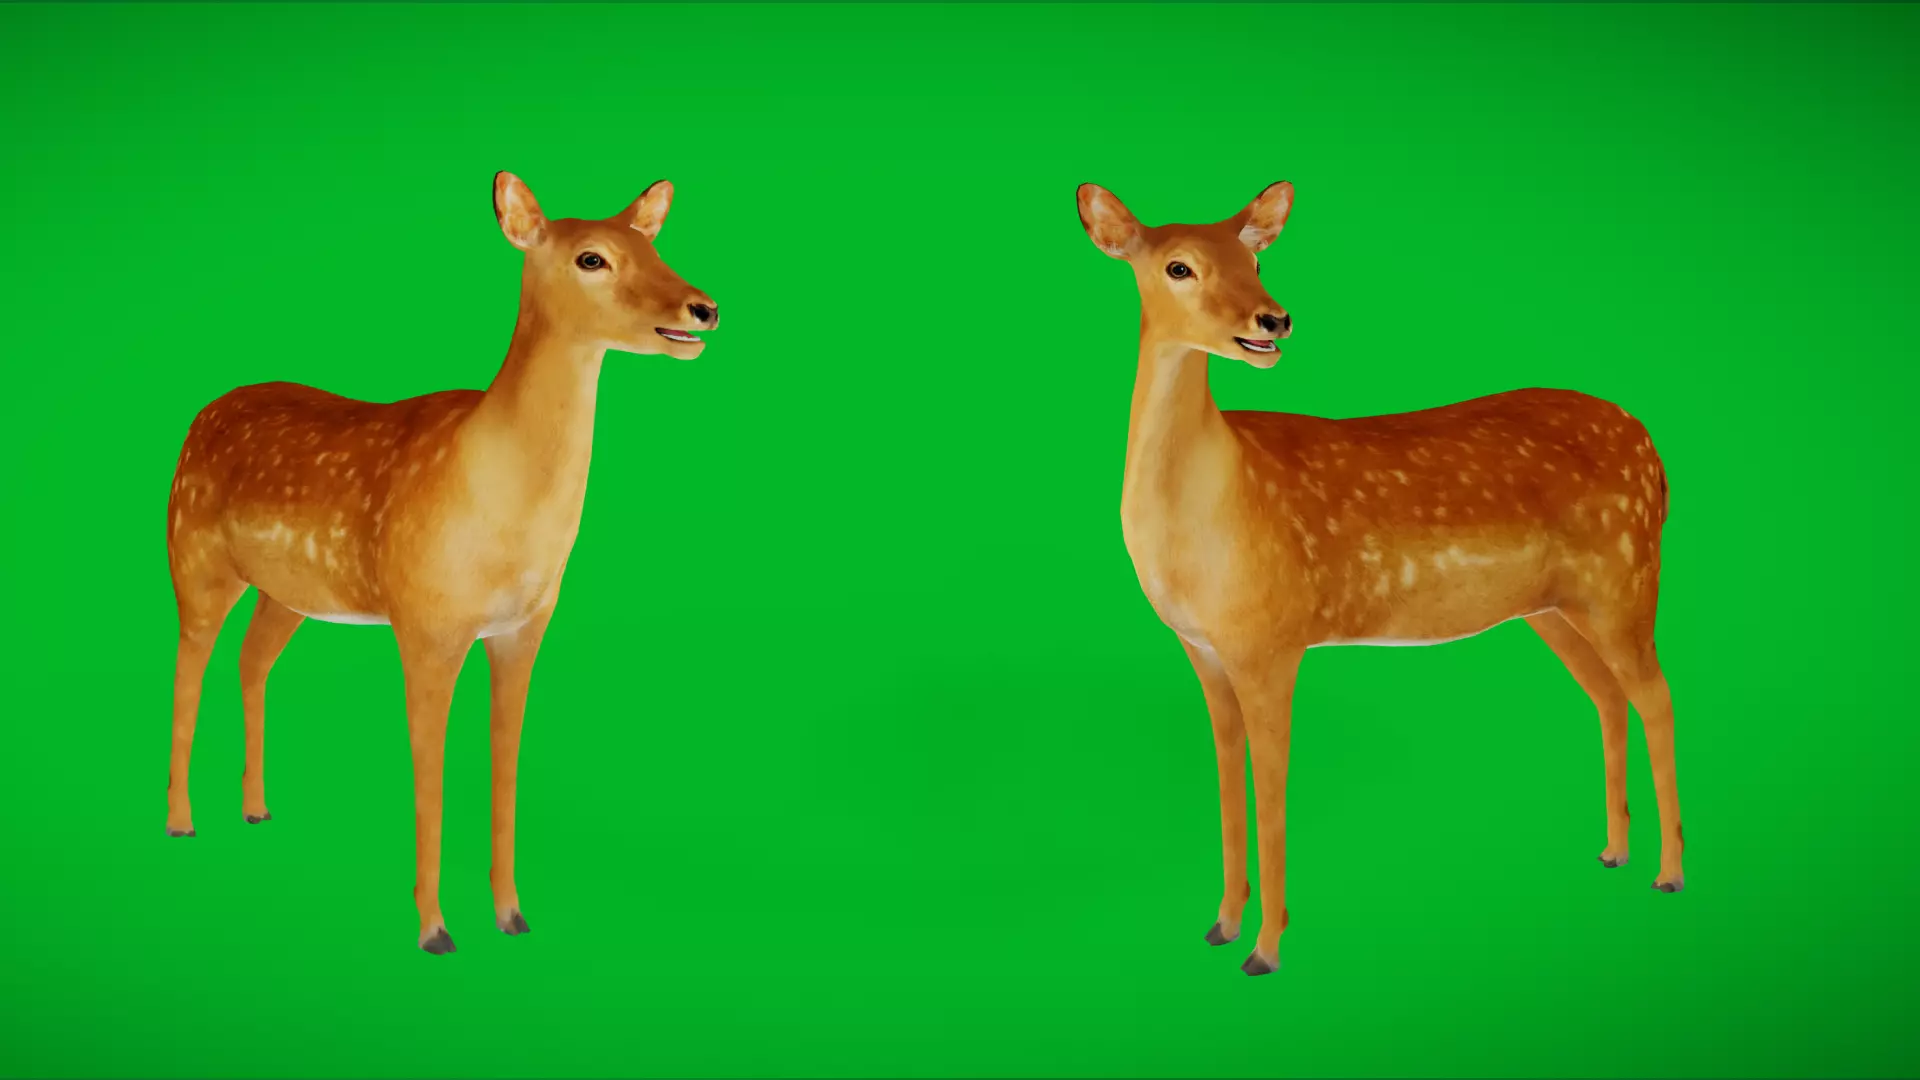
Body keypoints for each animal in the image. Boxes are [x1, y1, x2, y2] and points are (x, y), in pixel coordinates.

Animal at [163, 171, 719, 954]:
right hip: (194, 554)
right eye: (592, 258)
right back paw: (181, 821)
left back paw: (256, 808)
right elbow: (430, 773)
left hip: (291, 591)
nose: (703, 307)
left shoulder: (523, 628)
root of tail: (201, 414)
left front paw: (512, 914)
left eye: (655, 245)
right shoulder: (425, 620)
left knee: (252, 660)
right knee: (188, 668)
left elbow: (504, 764)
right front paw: (433, 927)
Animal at [1075, 181, 1685, 976]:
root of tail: (1656, 456)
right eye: (1178, 266)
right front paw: (1222, 924)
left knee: (1658, 698)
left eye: (1255, 256)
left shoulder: (1273, 640)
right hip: (1553, 607)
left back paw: (1669, 871)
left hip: (1624, 579)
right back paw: (1614, 851)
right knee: (1610, 698)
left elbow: (1272, 789)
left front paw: (1266, 948)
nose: (1273, 318)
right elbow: (1229, 782)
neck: (1218, 505)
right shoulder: (1204, 650)